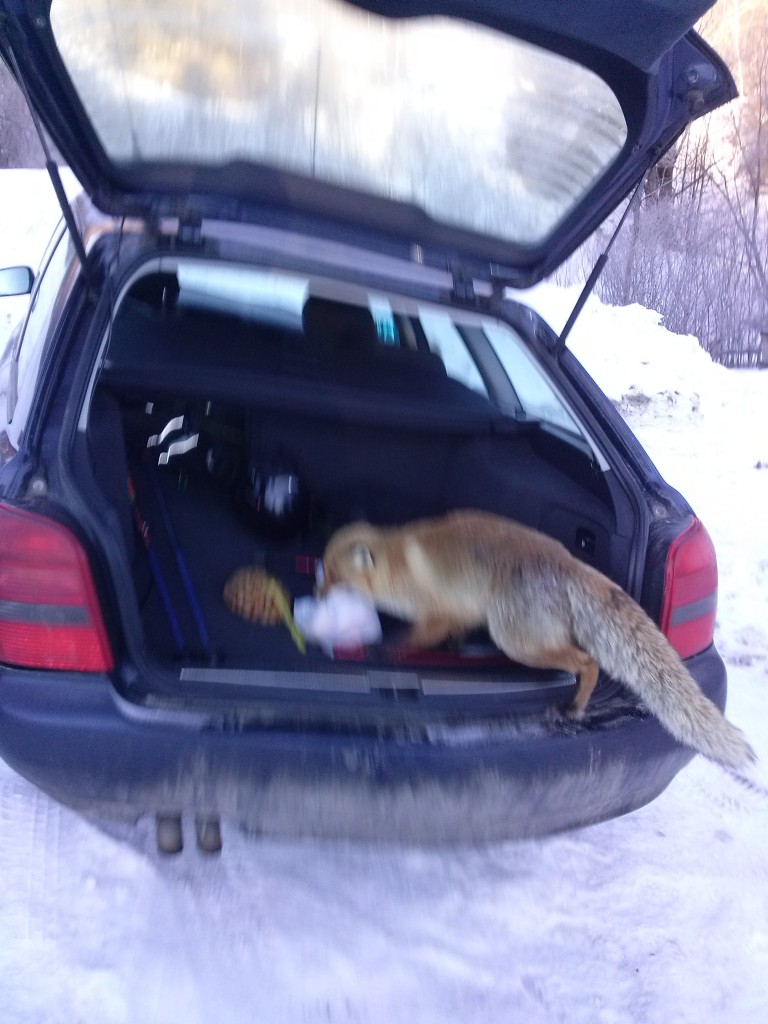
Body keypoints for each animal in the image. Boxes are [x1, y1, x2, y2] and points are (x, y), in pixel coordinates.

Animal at [319, 507, 757, 770]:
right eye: (322, 571)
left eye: (334, 578)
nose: (316, 595)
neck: (397, 566)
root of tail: (569, 563)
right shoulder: (460, 613)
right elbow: (448, 636)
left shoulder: (439, 610)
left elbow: (416, 637)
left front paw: (391, 648)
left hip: (514, 638)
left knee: (587, 662)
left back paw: (575, 706)